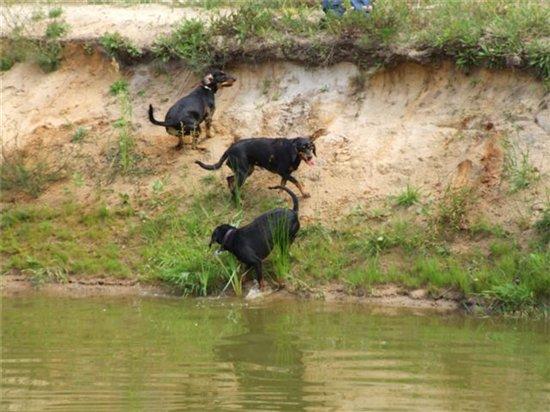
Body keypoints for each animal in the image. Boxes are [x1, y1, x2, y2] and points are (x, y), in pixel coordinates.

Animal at [196, 129, 328, 200]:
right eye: (302, 148)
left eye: (311, 147)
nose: (310, 157)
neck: (293, 151)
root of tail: (229, 149)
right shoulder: (283, 172)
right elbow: (297, 182)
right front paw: (304, 194)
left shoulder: (285, 174)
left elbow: (282, 186)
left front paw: (280, 197)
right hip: (243, 173)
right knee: (234, 186)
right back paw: (238, 200)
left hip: (247, 170)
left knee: (229, 179)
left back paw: (234, 195)